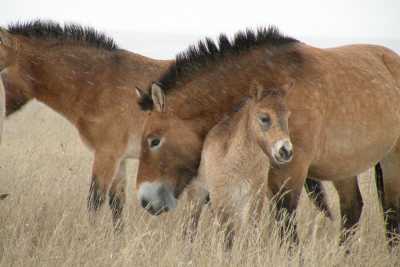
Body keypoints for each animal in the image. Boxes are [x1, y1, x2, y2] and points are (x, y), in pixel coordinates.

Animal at [0, 19, 171, 227]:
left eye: (2, 72)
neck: (100, 84)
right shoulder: (119, 159)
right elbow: (116, 203)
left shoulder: (106, 155)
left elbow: (95, 201)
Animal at [136, 26, 398, 245]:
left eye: (154, 140)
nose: (145, 201)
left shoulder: (290, 172)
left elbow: (286, 229)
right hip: (343, 168)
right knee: (352, 210)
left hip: (391, 161)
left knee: (391, 214)